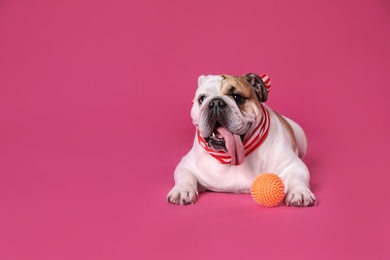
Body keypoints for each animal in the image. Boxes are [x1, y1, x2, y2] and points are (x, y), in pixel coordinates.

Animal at [168, 73, 316, 207]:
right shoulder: (186, 165)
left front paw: (299, 192)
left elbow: (297, 178)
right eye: (202, 98)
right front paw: (182, 190)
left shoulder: (294, 165)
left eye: (237, 97)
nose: (215, 102)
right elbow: (186, 177)